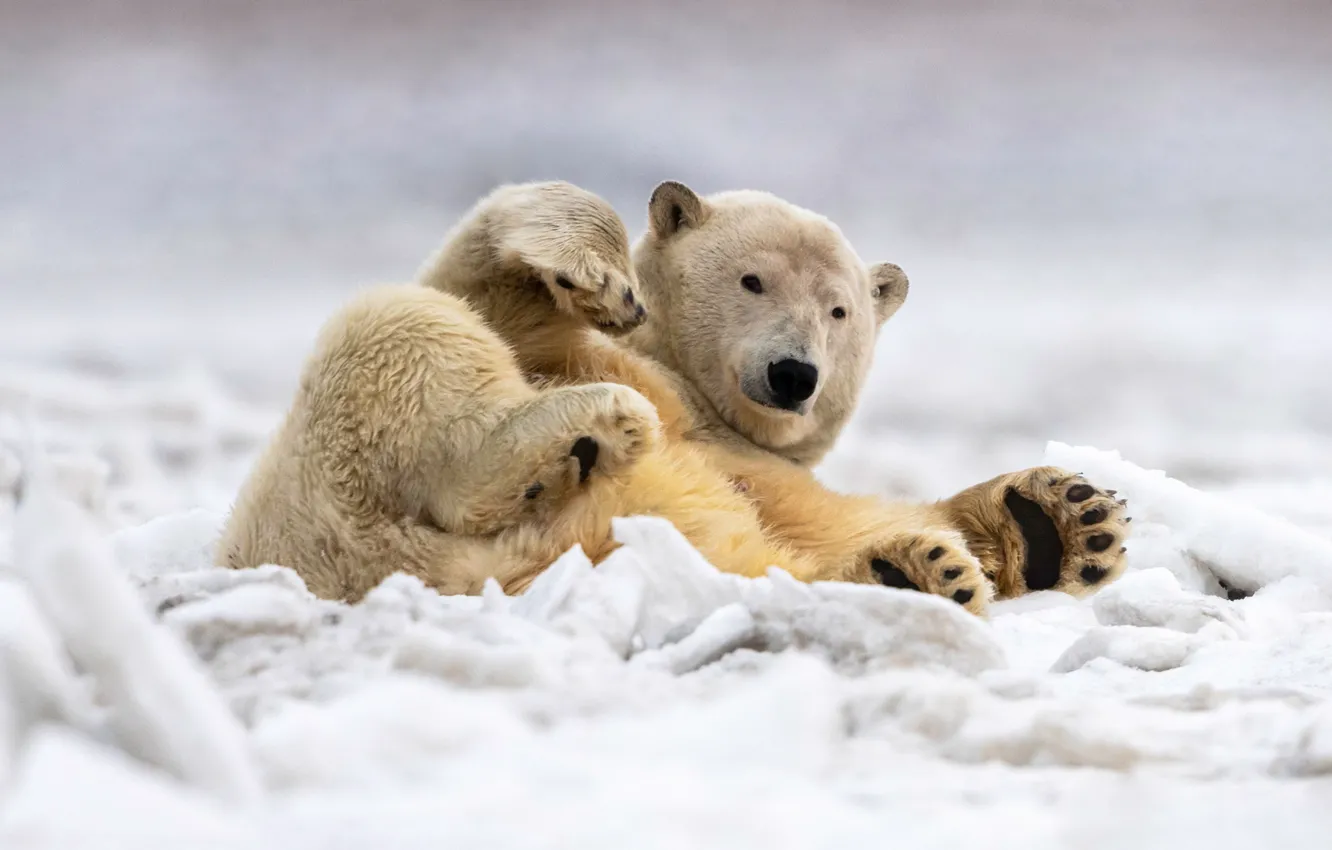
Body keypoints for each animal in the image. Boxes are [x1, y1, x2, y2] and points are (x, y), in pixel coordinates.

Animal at [414, 180, 1130, 609]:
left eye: (838, 310)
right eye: (751, 280)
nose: (793, 374)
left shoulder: (763, 471)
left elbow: (835, 519)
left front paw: (1065, 519)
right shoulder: (556, 345)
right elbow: (477, 294)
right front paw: (596, 276)